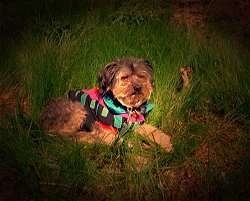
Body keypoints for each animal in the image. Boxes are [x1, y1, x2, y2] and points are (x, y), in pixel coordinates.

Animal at [40, 58, 173, 152]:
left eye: (141, 76)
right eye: (125, 77)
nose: (138, 87)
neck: (126, 108)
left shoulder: (133, 124)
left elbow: (151, 129)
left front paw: (165, 142)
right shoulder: (101, 126)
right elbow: (110, 136)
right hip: (77, 109)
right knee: (65, 136)